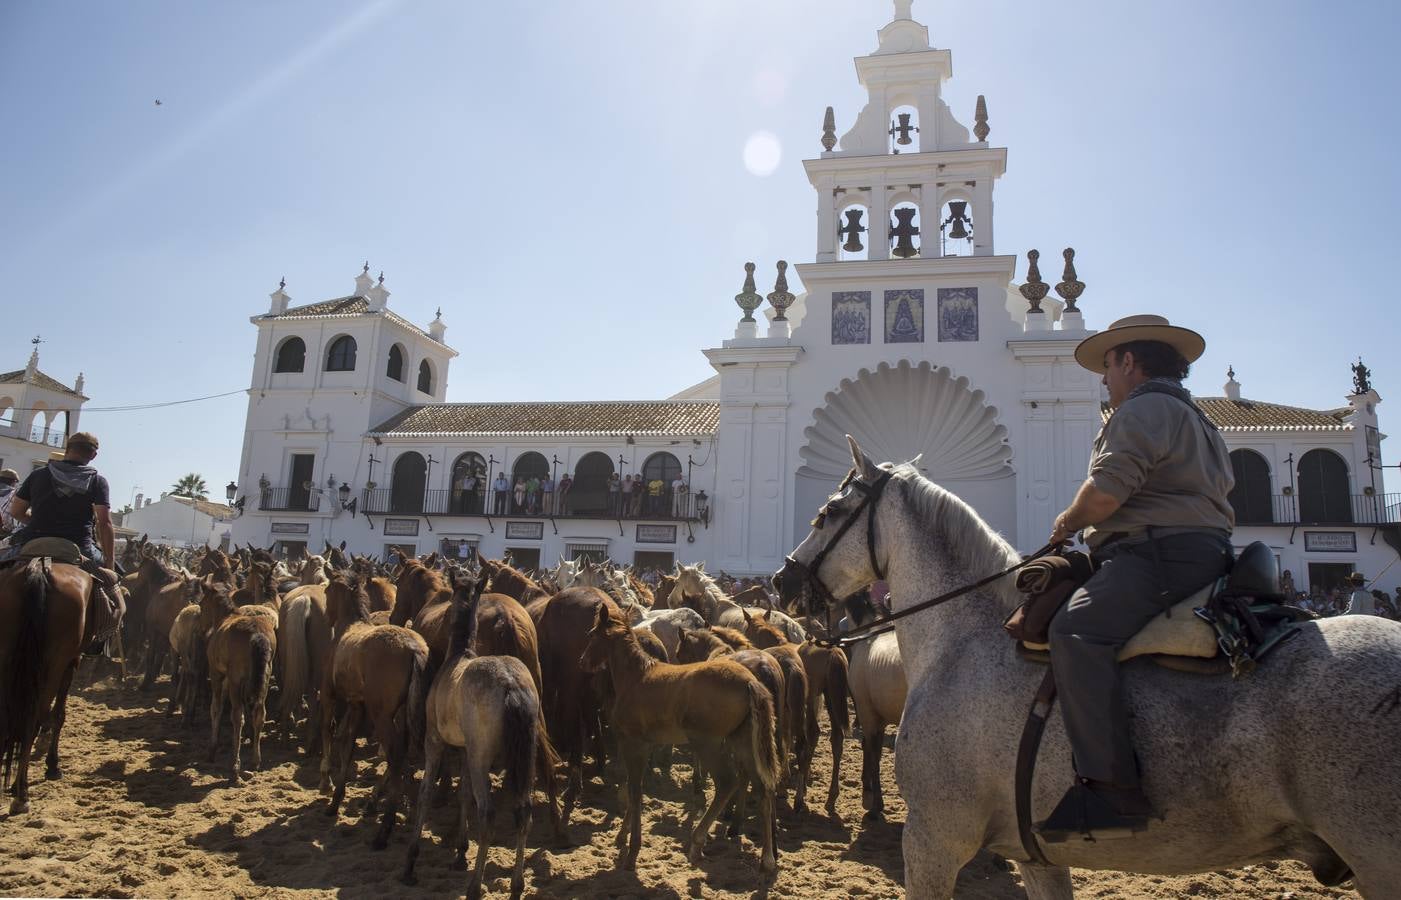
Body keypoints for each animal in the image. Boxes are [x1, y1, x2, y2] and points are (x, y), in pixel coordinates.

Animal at [0, 555, 90, 813]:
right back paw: (21, 793)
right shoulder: (72, 662)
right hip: (53, 664)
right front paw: (52, 765)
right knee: (34, 718)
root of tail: (39, 568)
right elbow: (58, 715)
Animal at [198, 574, 277, 779]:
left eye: (201, 603)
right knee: (259, 714)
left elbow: (216, 708)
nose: (202, 627)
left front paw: (212, 750)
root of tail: (257, 635)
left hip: (236, 680)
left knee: (237, 716)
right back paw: (255, 761)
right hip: (264, 679)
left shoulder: (218, 674)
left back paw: (234, 766)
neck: (225, 618)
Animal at [320, 571, 425, 846]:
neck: (348, 627)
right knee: (401, 753)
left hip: (382, 715)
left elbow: (329, 732)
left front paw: (326, 782)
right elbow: (347, 745)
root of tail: (413, 649)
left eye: (326, 591)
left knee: (395, 755)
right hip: (402, 714)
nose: (327, 616)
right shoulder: (357, 704)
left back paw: (384, 829)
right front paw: (335, 800)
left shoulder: (329, 694)